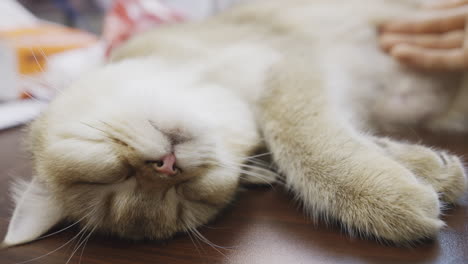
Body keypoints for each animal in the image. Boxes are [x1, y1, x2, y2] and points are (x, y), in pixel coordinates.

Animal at [1, 0, 466, 248]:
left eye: (105, 177)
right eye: (183, 198)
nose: (167, 168)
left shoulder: (288, 65)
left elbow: (299, 139)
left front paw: (384, 197)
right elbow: (321, 138)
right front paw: (427, 171)